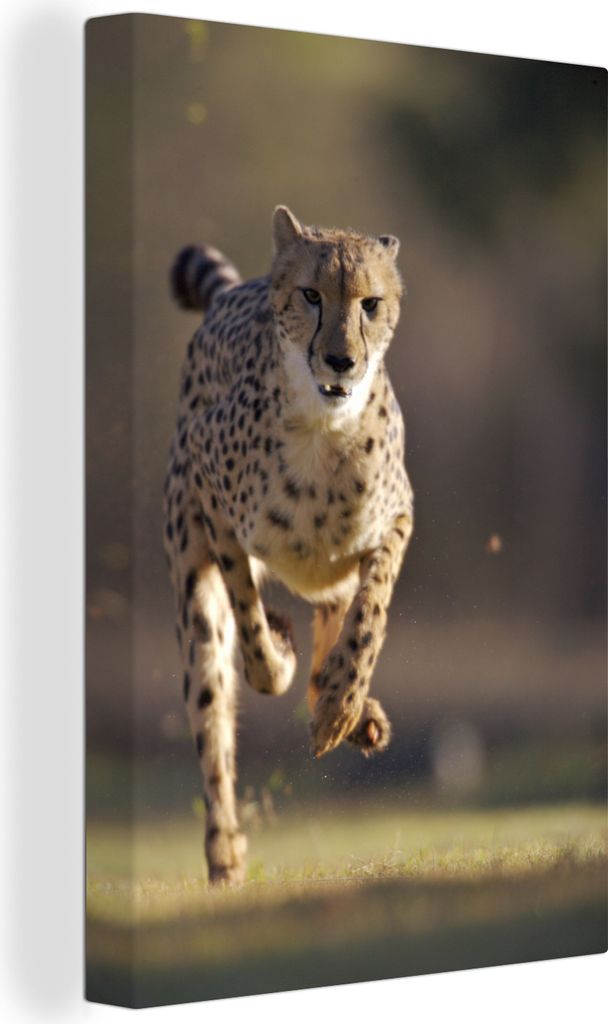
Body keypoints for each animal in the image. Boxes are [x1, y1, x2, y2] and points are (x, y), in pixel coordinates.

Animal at [163, 206, 414, 885]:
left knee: (337, 612)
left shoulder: (397, 519)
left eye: (370, 303)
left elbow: (370, 618)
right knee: (212, 700)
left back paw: (354, 712)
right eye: (311, 295)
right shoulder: (212, 502)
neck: (324, 432)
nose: (340, 360)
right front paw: (278, 652)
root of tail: (231, 291)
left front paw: (342, 707)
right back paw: (224, 852)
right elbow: (252, 640)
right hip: (191, 573)